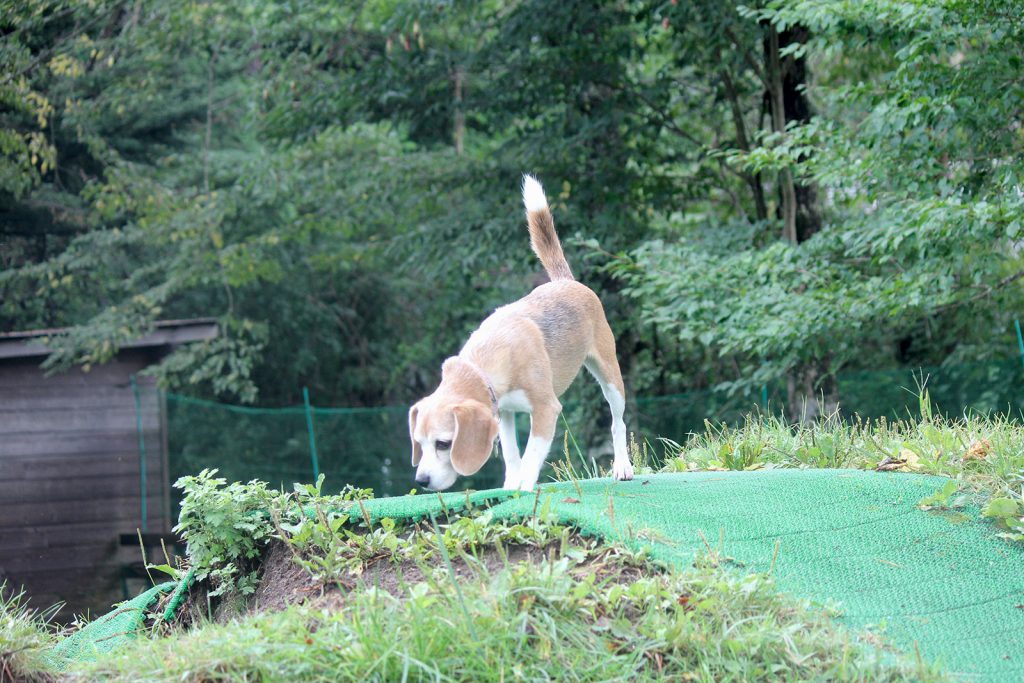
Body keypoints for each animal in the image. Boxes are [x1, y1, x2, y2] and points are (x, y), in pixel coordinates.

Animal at [407, 174, 630, 489]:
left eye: (443, 444)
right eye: (419, 443)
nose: (422, 480)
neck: (485, 362)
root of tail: (564, 281)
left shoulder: (546, 409)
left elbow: (531, 453)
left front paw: (524, 484)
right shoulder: (504, 413)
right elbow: (512, 453)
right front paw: (511, 486)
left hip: (611, 378)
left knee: (617, 423)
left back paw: (622, 466)